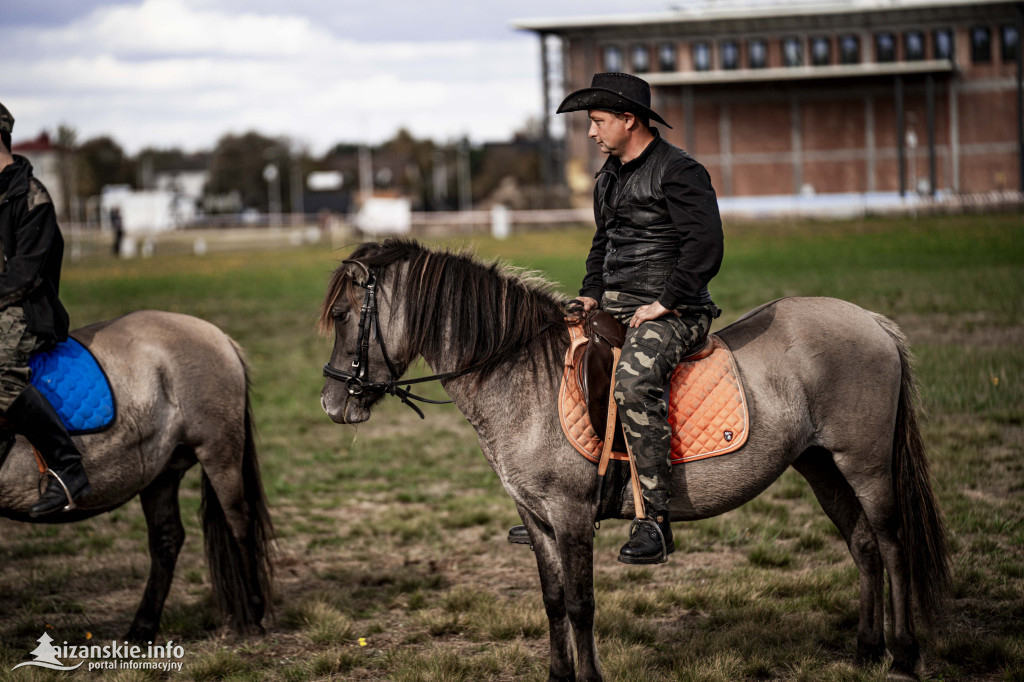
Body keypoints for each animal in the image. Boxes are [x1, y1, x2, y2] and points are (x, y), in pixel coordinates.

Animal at [0, 311, 272, 638]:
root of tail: (218, 335)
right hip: (161, 473)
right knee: (167, 539)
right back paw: (142, 628)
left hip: (219, 450)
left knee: (239, 523)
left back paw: (253, 615)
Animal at [319, 236, 950, 675]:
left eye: (346, 317)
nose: (331, 402)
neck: (522, 377)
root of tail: (872, 320)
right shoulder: (535, 517)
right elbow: (552, 601)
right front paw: (559, 675)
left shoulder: (572, 515)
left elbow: (580, 605)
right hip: (819, 464)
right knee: (862, 543)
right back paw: (866, 650)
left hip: (865, 463)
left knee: (892, 543)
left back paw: (903, 655)